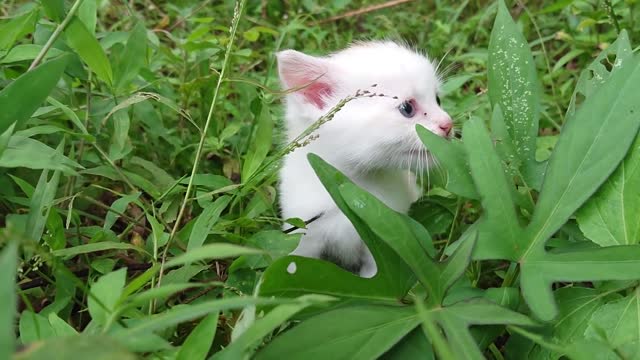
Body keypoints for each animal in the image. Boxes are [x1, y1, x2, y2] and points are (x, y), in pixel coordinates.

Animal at [278, 41, 452, 278]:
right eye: (407, 108)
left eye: (437, 100)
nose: (448, 124)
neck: (350, 187)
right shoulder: (302, 232)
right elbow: (293, 266)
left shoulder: (385, 240)